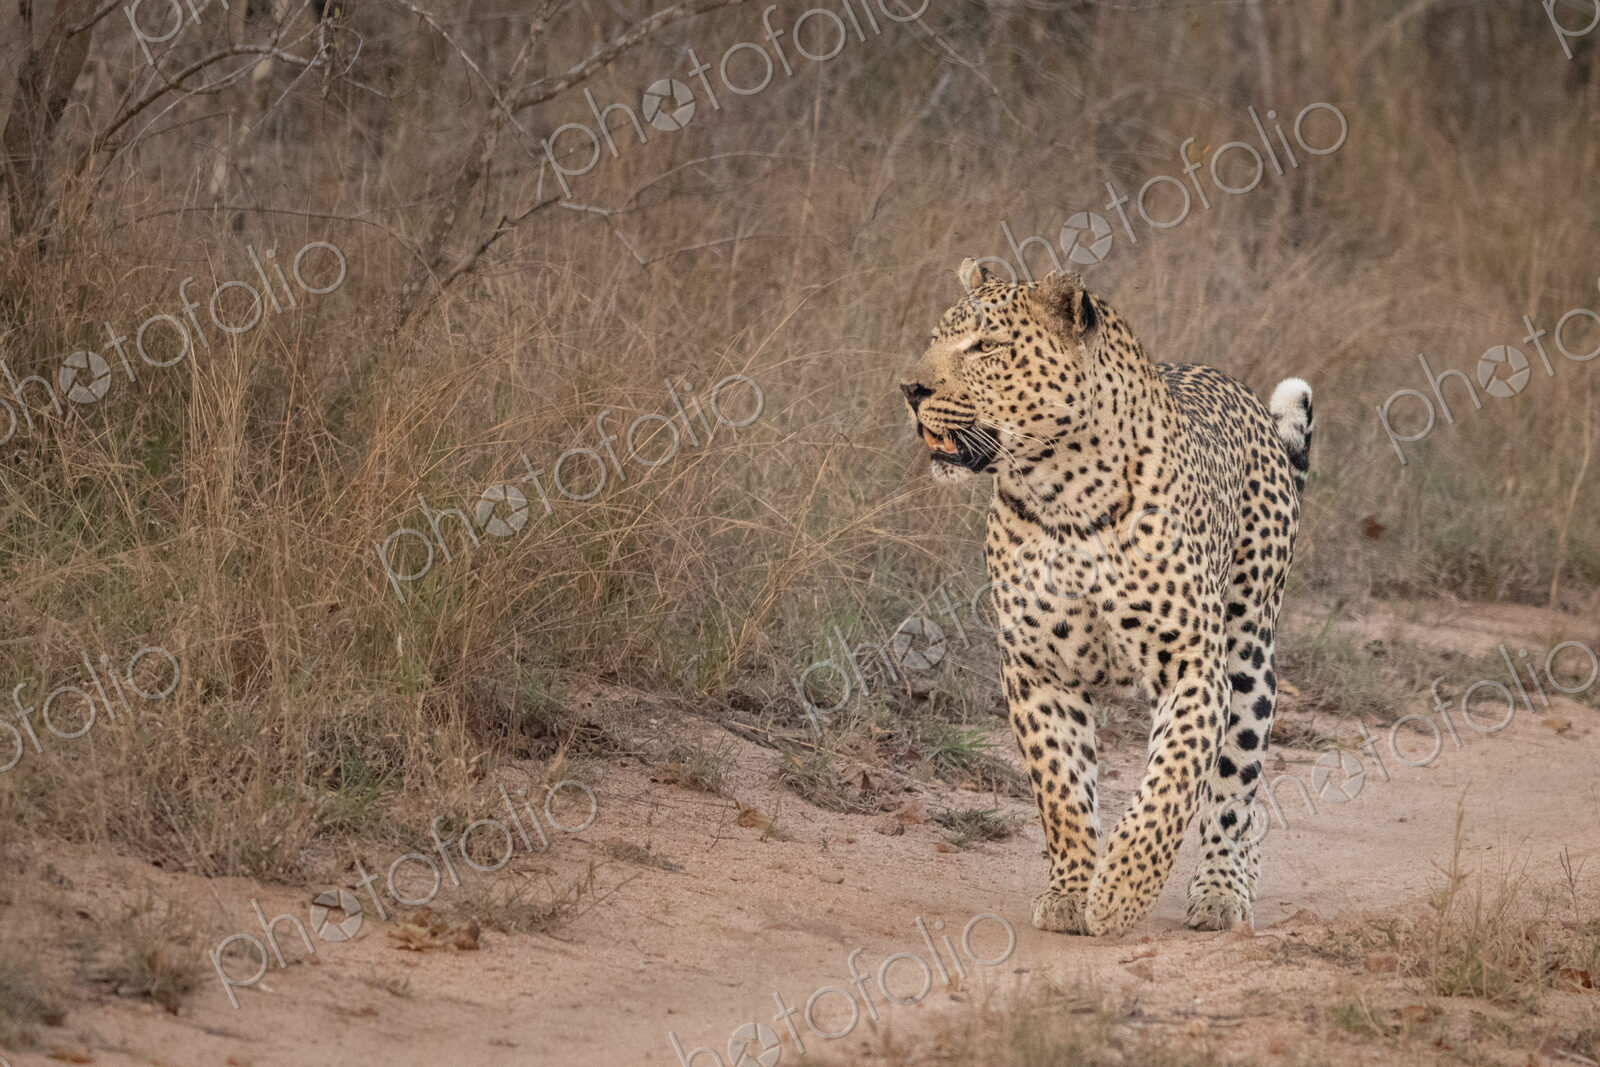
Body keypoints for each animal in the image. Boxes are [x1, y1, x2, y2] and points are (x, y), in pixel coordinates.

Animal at [898, 260, 1313, 937]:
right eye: (936, 340)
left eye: (986, 346)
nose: (910, 388)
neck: (1061, 491)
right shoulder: (1038, 670)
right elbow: (1063, 793)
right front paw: (1071, 891)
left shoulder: (1194, 667)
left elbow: (1171, 782)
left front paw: (1120, 890)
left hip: (1250, 652)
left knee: (1234, 794)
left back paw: (1223, 889)